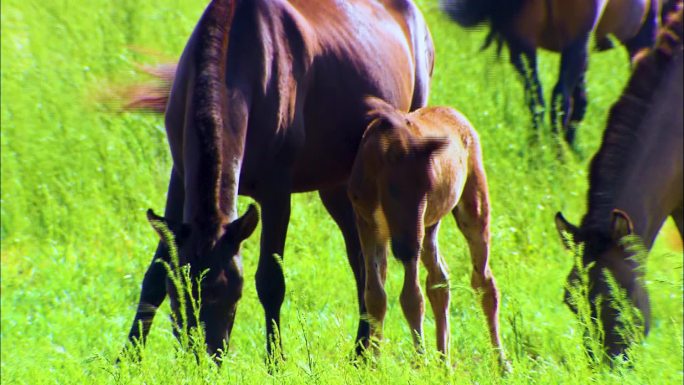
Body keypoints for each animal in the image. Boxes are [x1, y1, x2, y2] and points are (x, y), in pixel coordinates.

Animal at [120, 0, 432, 360]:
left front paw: (275, 361)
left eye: (230, 293)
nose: (204, 359)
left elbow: (271, 281)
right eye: (180, 294)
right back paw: (362, 353)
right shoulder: (181, 178)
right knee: (364, 263)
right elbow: (155, 273)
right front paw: (126, 359)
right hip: (339, 186)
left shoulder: (276, 192)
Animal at [350, 97, 504, 366]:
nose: (404, 246)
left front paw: (421, 362)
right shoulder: (367, 223)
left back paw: (502, 365)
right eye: (393, 189)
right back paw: (444, 364)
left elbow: (412, 298)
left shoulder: (412, 228)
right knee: (439, 279)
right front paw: (375, 365)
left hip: (470, 203)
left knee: (484, 281)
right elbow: (375, 296)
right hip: (430, 226)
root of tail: (458, 116)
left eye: (429, 186)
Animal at [440, 0, 660, 146]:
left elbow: (580, 98)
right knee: (560, 100)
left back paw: (538, 151)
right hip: (576, 38)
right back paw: (558, 160)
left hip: (523, 43)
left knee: (537, 100)